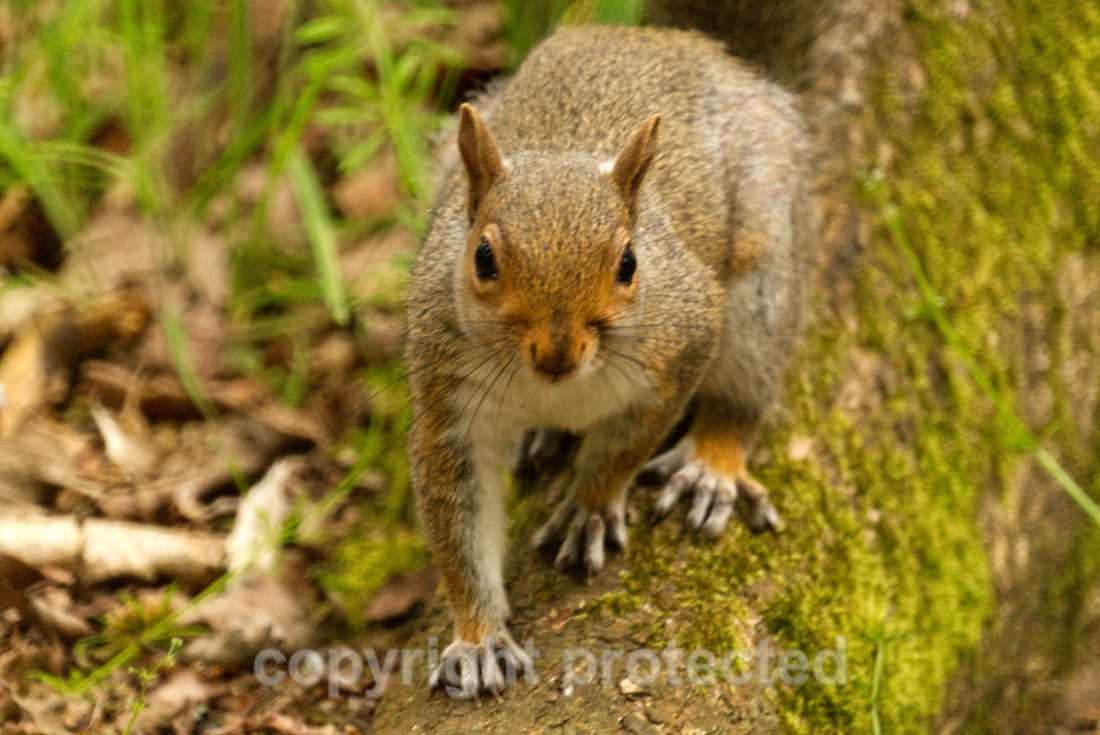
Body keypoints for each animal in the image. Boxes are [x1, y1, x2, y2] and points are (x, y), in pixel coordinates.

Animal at [404, 24, 815, 698]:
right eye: (483, 258)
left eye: (629, 262)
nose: (558, 352)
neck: (556, 387)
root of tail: (667, 40)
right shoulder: (448, 395)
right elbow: (458, 525)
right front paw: (478, 638)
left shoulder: (684, 341)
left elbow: (624, 448)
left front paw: (589, 509)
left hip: (759, 278)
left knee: (741, 394)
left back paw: (711, 466)